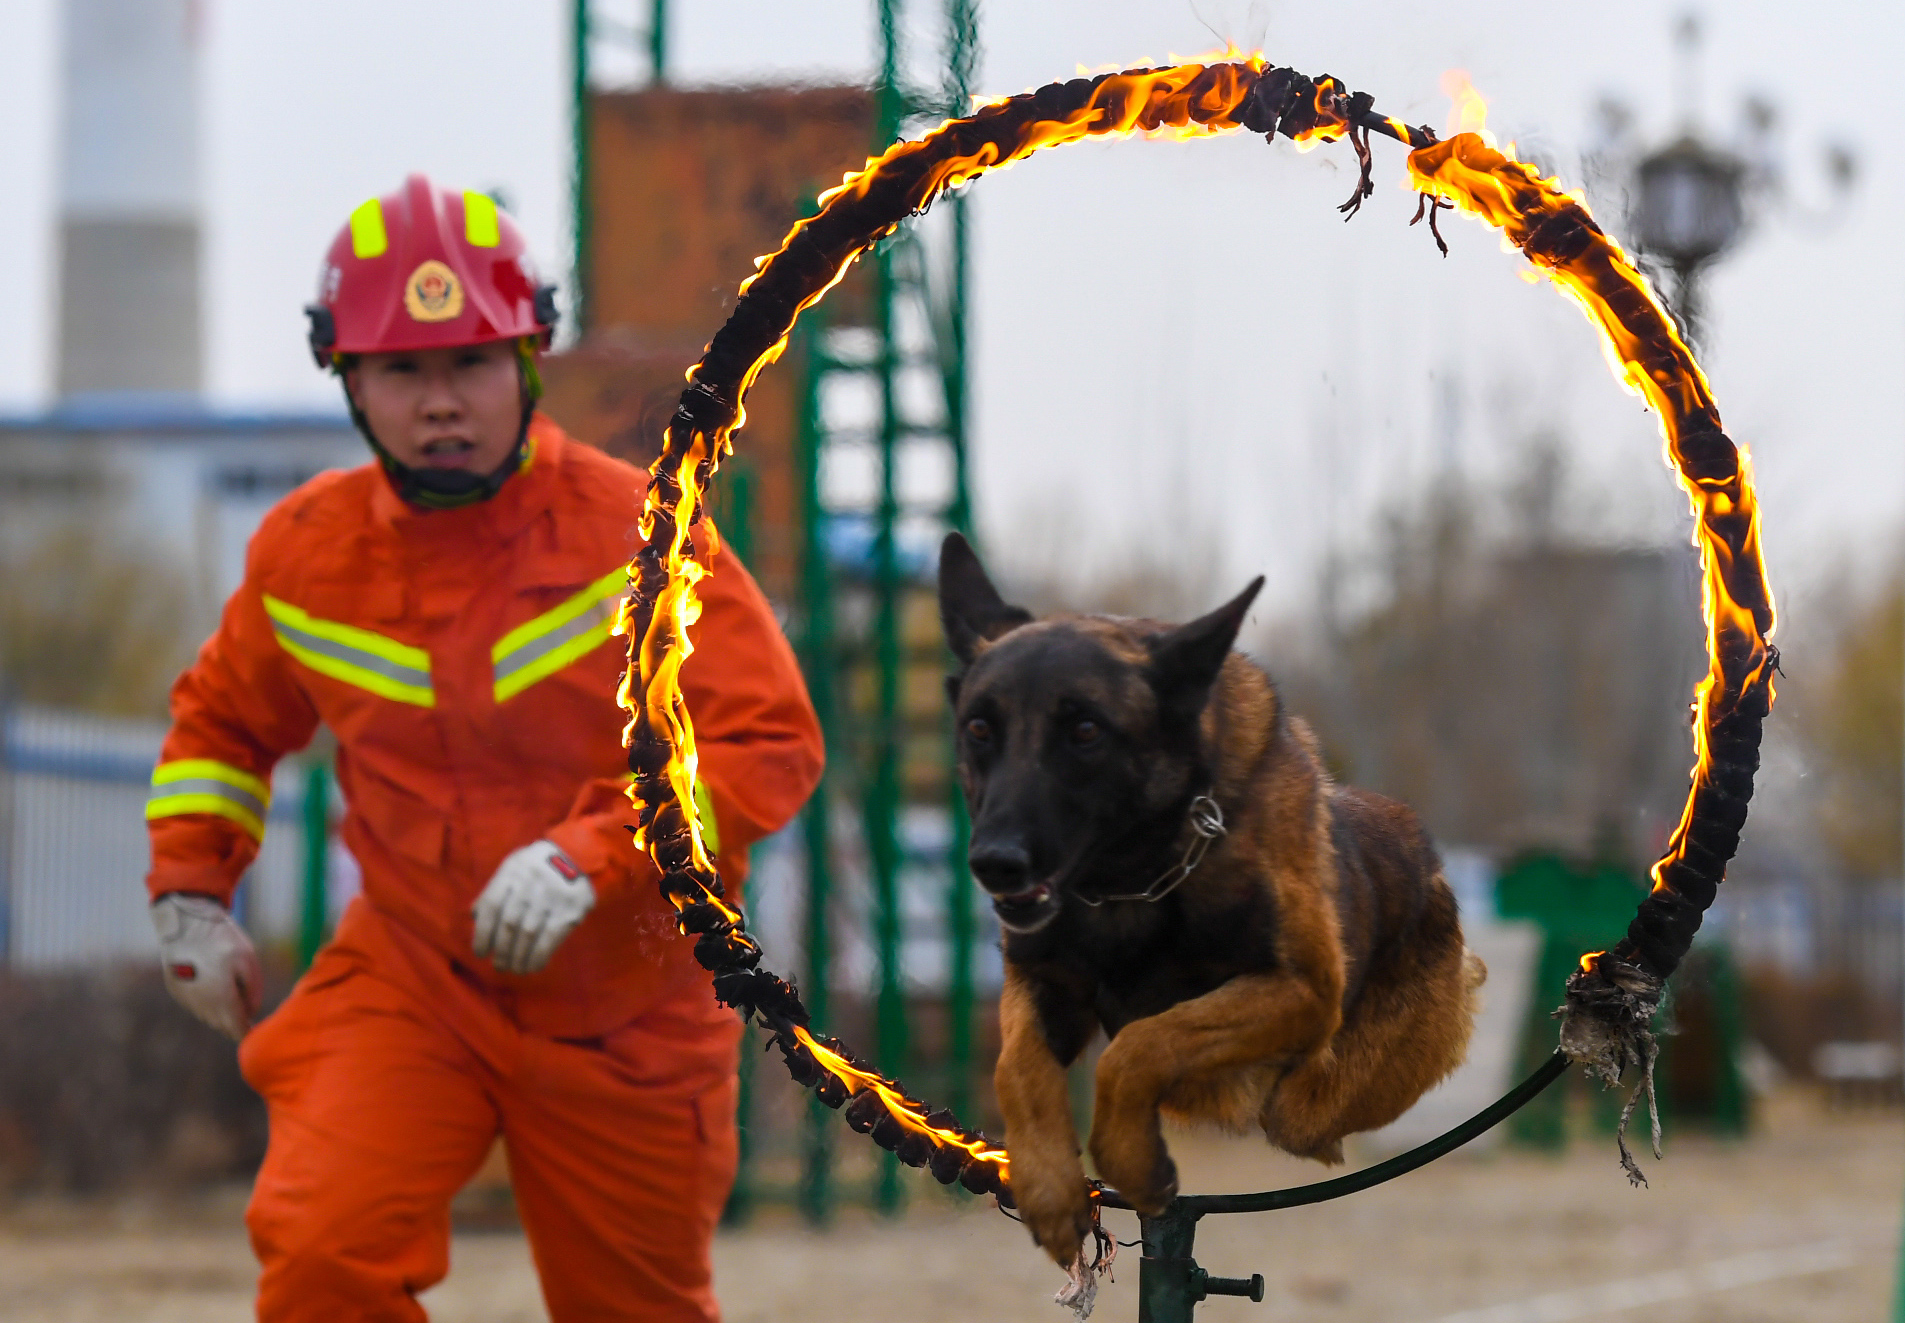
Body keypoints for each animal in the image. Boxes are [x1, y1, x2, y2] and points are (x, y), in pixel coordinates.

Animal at [937, 533, 1485, 1273]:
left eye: (1085, 731)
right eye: (978, 729)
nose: (995, 862)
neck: (1132, 877)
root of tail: (1432, 867)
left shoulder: (1300, 990)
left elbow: (1139, 1044)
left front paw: (1130, 1160)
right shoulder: (1041, 980)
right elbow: (1015, 1069)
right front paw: (1048, 1189)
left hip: (1316, 1098)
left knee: (1302, 1115)